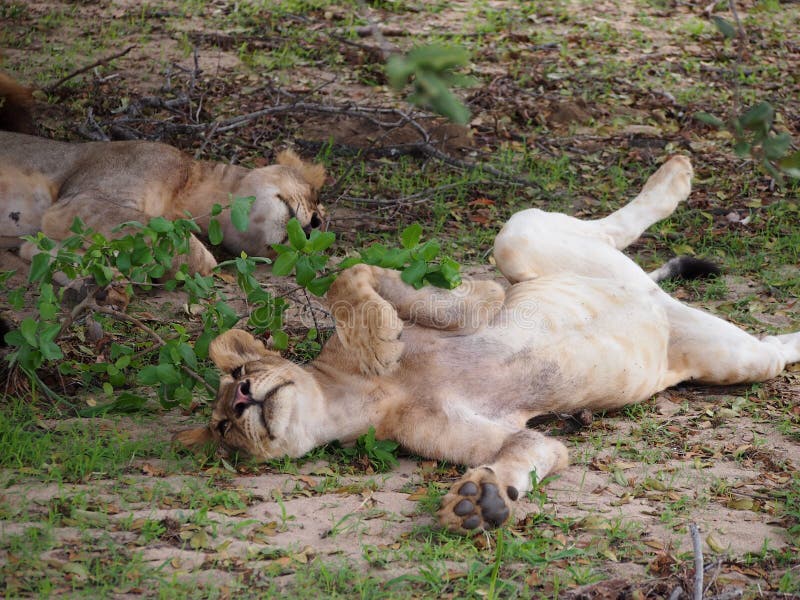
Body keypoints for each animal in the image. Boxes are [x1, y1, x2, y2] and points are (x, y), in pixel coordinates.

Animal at [177, 155, 800, 536]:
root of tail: (650, 293)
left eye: (239, 377)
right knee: (772, 345)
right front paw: (482, 501)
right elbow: (537, 450)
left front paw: (389, 334)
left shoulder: (403, 295)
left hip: (523, 241)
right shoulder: (476, 435)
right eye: (223, 430)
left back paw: (674, 175)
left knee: (593, 229)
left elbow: (358, 276)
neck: (357, 396)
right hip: (729, 356)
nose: (241, 401)